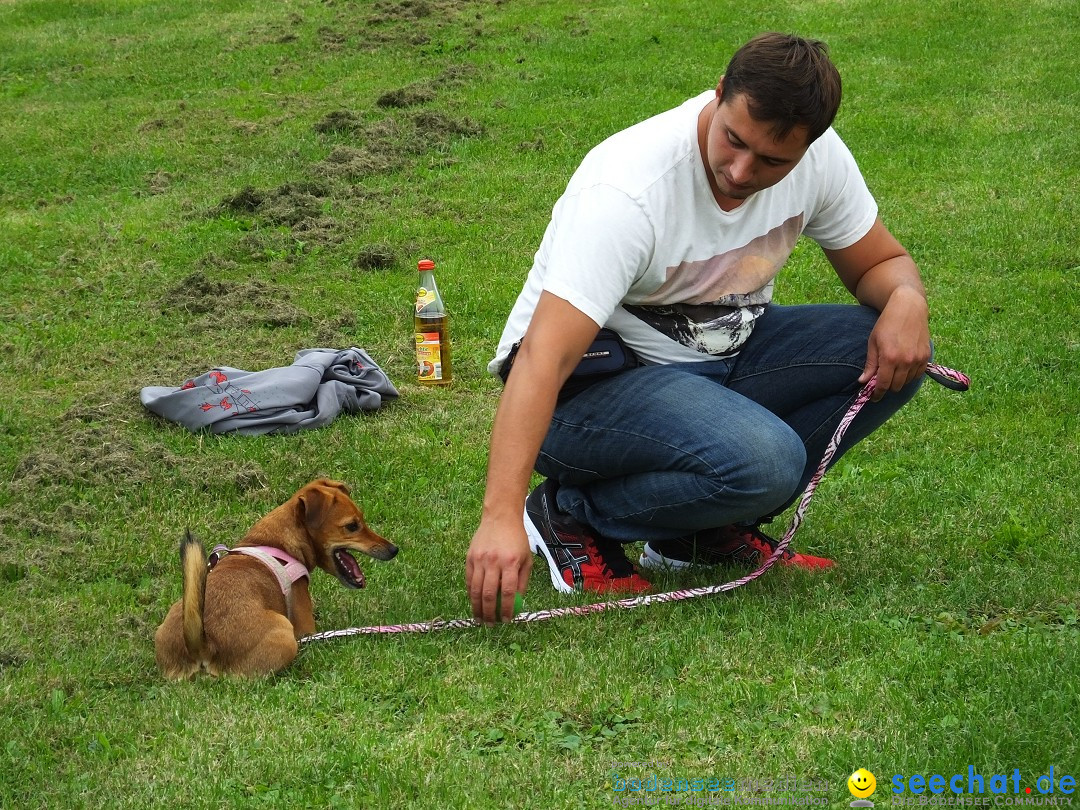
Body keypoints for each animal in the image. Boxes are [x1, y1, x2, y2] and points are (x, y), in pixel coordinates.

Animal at [156, 479, 397, 682]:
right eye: (352, 526)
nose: (394, 549)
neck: (277, 543)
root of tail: (203, 645)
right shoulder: (305, 627)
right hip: (285, 633)